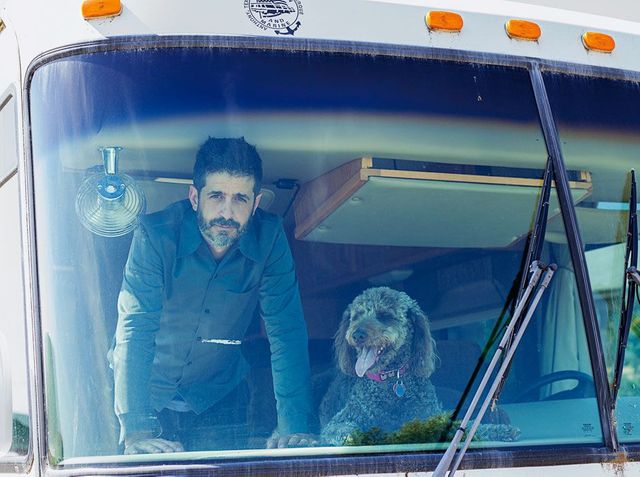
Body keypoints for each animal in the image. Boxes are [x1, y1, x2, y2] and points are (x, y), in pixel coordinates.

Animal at [319, 287, 442, 446]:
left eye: (385, 315)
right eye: (357, 316)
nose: (357, 334)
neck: (388, 378)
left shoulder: (429, 412)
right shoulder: (341, 420)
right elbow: (344, 431)